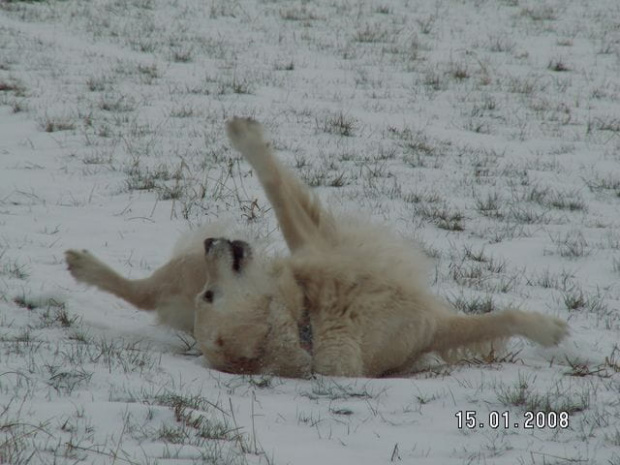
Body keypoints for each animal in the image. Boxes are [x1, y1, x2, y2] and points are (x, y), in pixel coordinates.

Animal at [65, 116, 568, 376]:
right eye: (208, 297)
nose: (211, 242)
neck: (309, 318)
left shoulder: (317, 246)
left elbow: (275, 185)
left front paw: (246, 137)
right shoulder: (429, 327)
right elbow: (497, 319)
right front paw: (549, 331)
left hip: (184, 269)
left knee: (140, 291)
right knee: (137, 293)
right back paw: (84, 268)